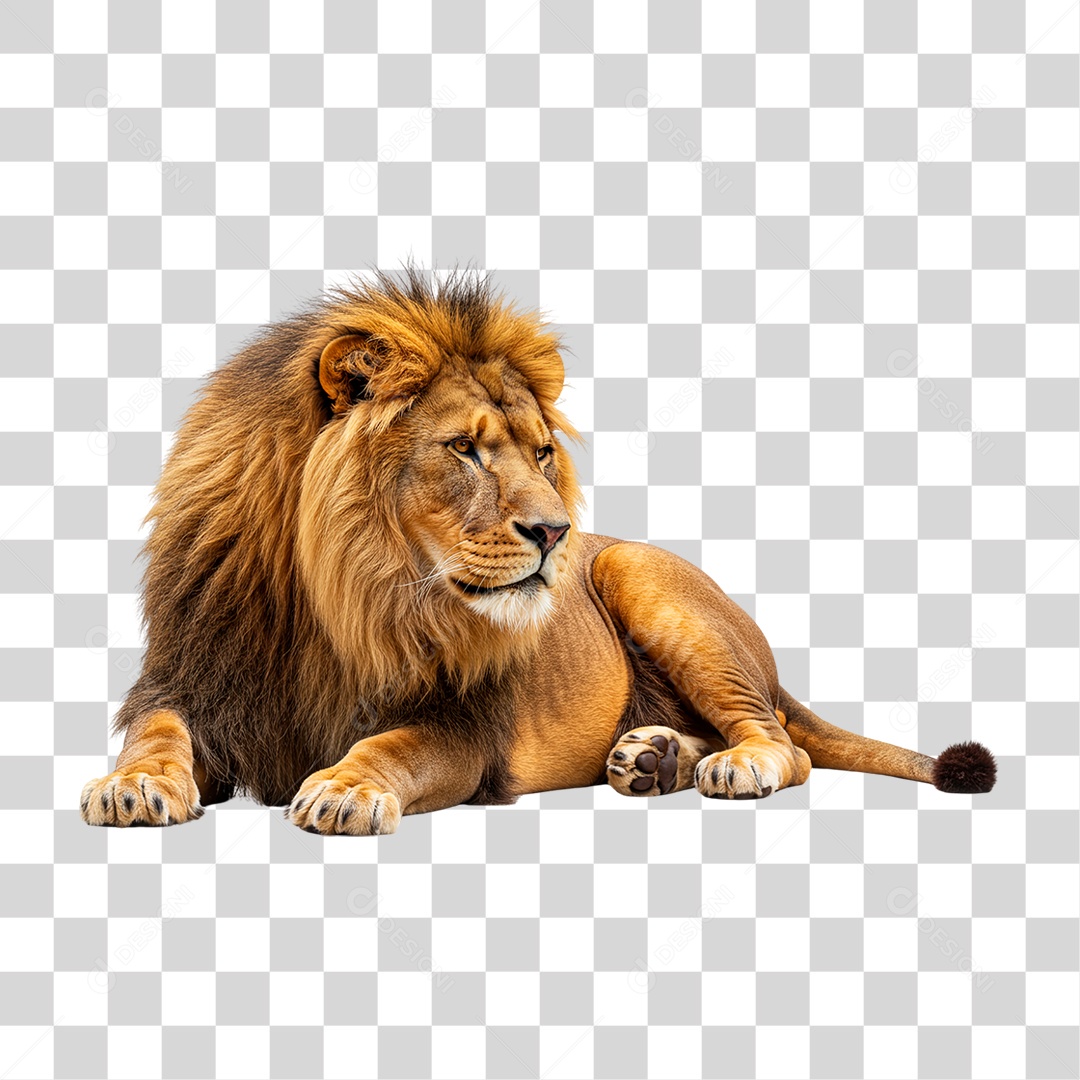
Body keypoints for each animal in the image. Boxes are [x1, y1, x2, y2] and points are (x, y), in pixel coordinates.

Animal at [80, 267, 996, 834]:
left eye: (543, 452)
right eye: (466, 450)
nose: (556, 532)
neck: (341, 596)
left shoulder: (461, 724)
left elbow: (389, 747)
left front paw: (343, 787)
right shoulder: (195, 679)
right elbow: (155, 732)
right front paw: (133, 784)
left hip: (640, 575)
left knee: (784, 740)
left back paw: (727, 766)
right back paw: (651, 758)